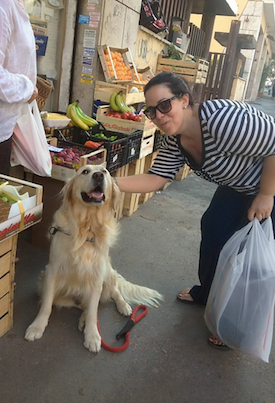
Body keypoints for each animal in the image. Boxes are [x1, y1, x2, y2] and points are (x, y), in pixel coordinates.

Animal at [24, 165, 163, 354]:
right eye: (85, 171)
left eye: (105, 172)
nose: (98, 176)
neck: (87, 226)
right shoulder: (52, 271)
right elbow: (46, 304)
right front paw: (37, 326)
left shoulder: (97, 275)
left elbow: (93, 312)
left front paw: (92, 336)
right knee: (84, 305)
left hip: (107, 271)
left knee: (112, 292)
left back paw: (123, 306)